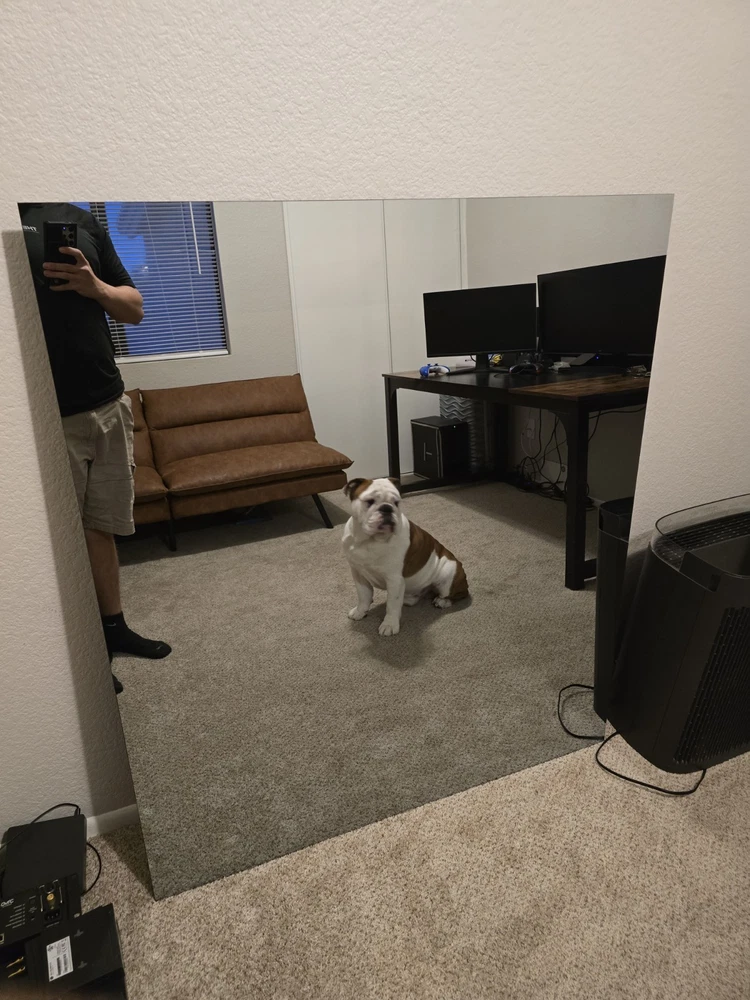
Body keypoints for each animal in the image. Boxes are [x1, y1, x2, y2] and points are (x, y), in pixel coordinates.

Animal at [342, 477, 468, 636]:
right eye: (369, 501)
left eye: (396, 502)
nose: (387, 508)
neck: (369, 540)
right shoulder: (359, 574)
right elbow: (363, 595)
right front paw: (360, 612)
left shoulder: (394, 580)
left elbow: (392, 605)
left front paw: (389, 624)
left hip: (448, 573)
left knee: (459, 593)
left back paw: (443, 601)